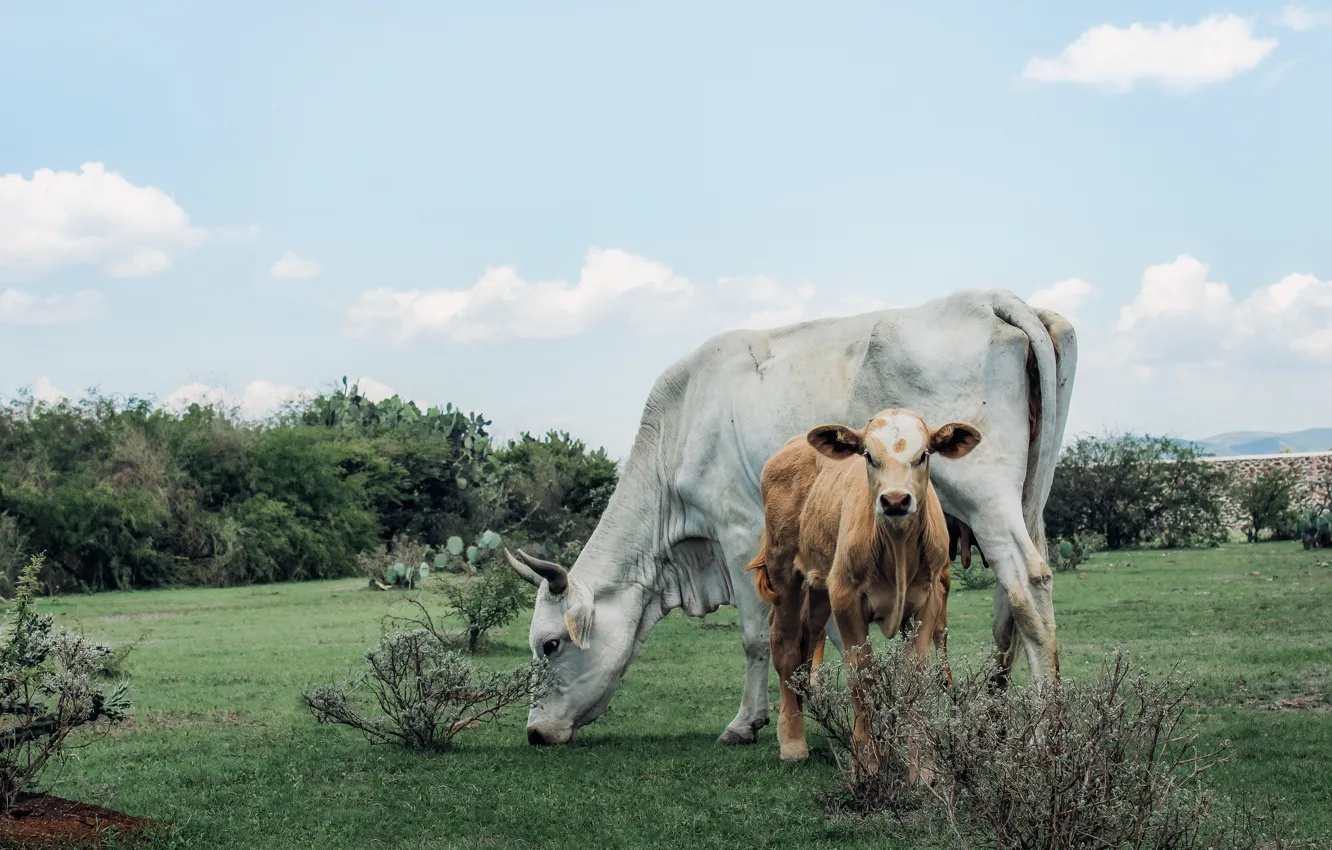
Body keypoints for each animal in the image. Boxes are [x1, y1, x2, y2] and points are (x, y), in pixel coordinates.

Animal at [745, 409, 979, 766]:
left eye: (923, 455)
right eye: (868, 455)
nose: (895, 500)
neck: (896, 548)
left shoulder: (928, 601)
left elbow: (914, 676)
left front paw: (922, 766)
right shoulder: (847, 599)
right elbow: (862, 675)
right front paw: (867, 761)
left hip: (820, 585)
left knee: (807, 638)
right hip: (784, 570)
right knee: (785, 642)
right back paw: (792, 739)